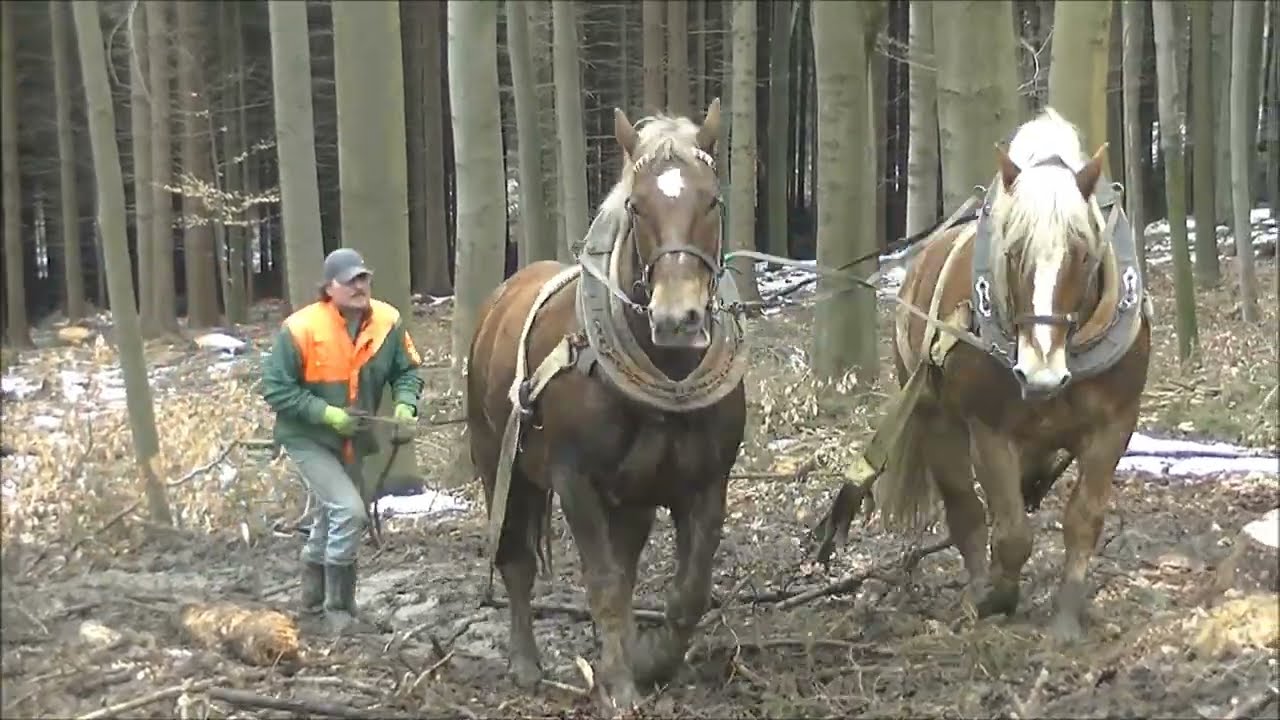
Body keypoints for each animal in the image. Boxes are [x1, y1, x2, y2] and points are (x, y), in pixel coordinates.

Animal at [465, 98, 748, 711]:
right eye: (636, 206)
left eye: (713, 200)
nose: (677, 319)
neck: (666, 375)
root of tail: (499, 300)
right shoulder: (575, 481)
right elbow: (605, 582)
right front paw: (618, 685)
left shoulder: (707, 483)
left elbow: (689, 590)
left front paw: (652, 662)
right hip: (499, 463)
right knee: (516, 561)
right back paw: (525, 662)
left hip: (632, 498)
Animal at [822, 107, 1151, 643]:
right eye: (1013, 252)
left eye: (1082, 253)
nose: (1039, 373)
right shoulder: (989, 431)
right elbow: (1010, 531)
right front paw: (997, 596)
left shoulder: (1114, 426)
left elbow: (1084, 518)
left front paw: (1066, 616)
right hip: (935, 418)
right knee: (966, 509)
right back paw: (980, 587)